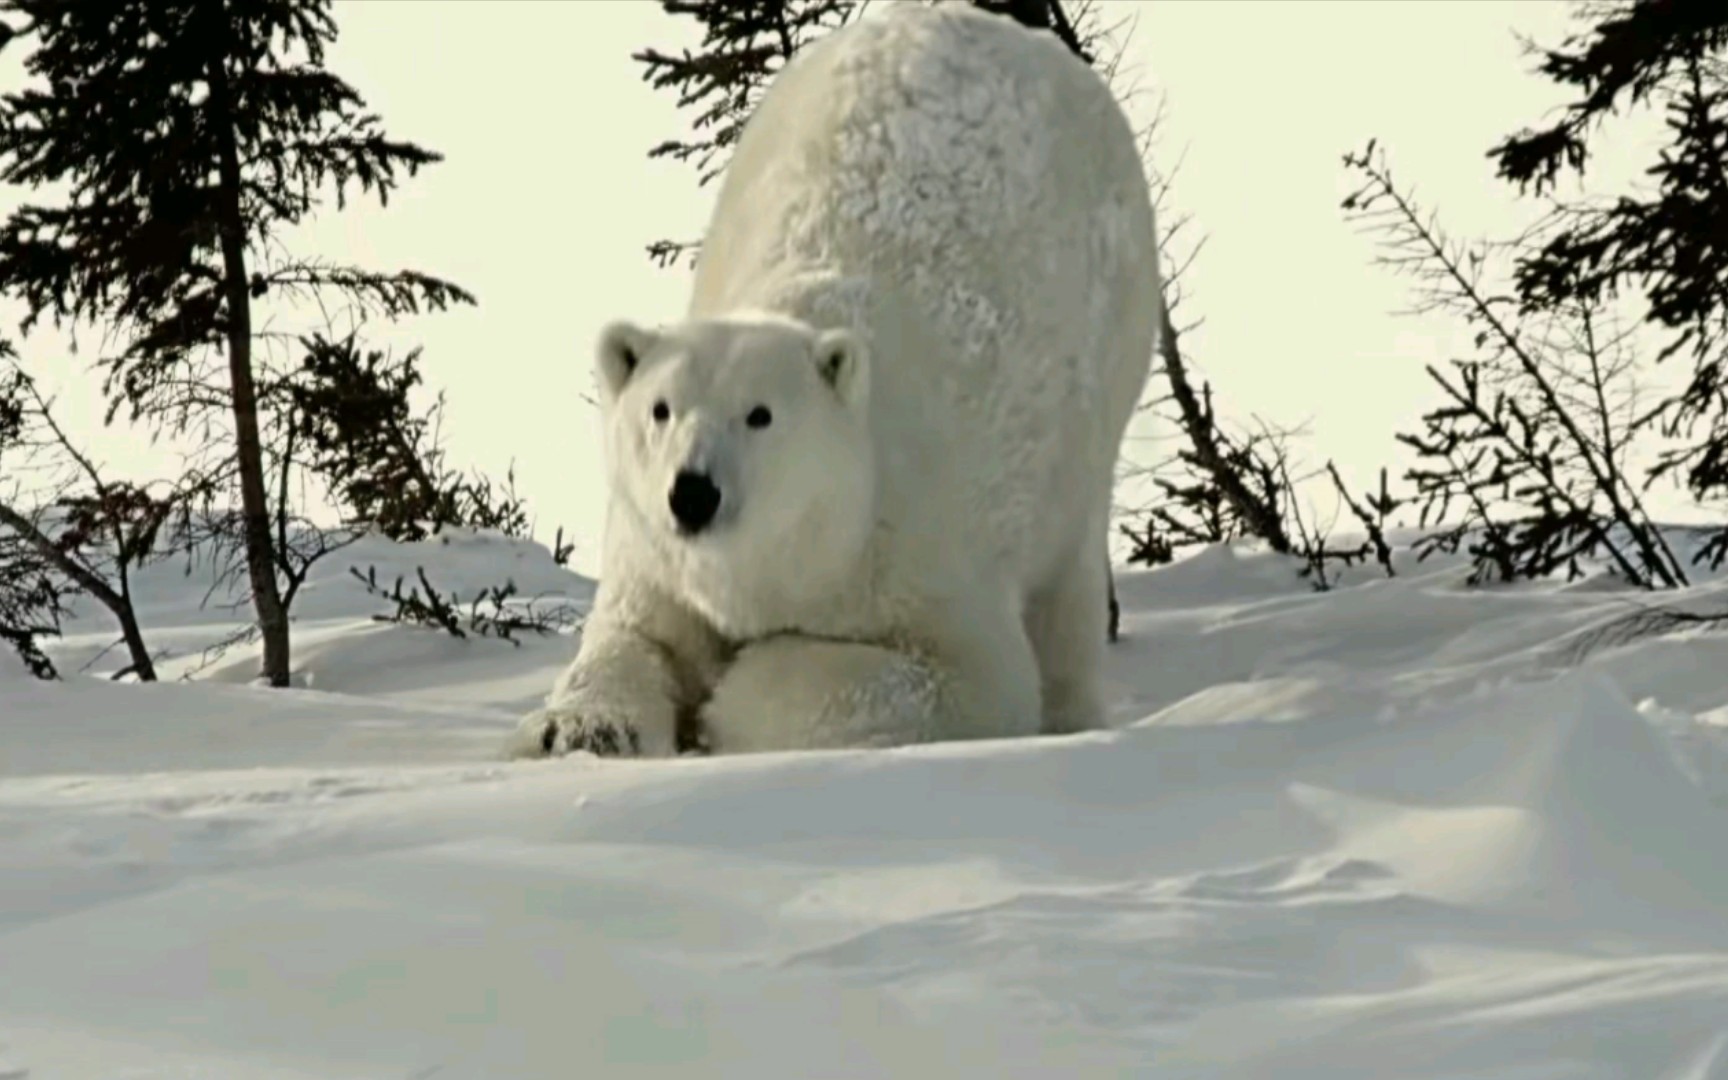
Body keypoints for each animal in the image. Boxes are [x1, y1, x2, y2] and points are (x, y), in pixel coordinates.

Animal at [511, 2, 1161, 756]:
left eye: (760, 414)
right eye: (660, 409)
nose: (693, 493)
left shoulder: (918, 557)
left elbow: (964, 678)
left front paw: (728, 704)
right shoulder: (655, 553)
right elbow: (638, 637)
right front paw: (576, 729)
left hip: (1108, 351)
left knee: (1067, 574)